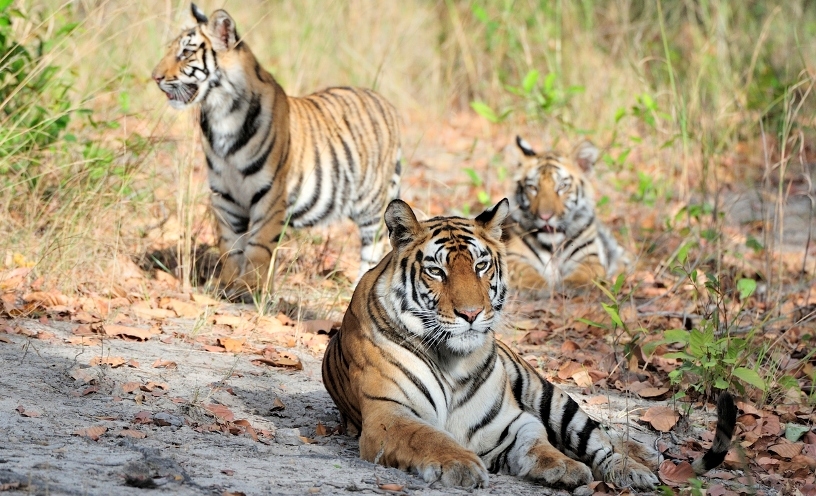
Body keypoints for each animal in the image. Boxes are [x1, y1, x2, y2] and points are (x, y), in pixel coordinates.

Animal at [151, 4, 401, 297]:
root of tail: (385, 102)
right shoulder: (224, 195)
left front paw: (249, 287)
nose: (155, 77)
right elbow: (229, 244)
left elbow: (258, 244)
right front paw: (227, 283)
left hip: (372, 204)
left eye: (186, 53)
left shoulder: (270, 193)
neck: (219, 115)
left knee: (374, 247)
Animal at [322, 198, 736, 490]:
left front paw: (565, 467)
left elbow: (539, 442)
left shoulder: (511, 420)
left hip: (547, 393)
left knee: (597, 435)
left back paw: (635, 465)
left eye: (481, 266)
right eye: (436, 271)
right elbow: (429, 437)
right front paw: (461, 464)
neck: (452, 360)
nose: (471, 314)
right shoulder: (389, 414)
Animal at [503, 136, 629, 294]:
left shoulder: (589, 255)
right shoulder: (514, 256)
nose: (545, 217)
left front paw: (571, 285)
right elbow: (523, 271)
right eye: (532, 187)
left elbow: (586, 271)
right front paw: (538, 286)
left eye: (562, 186)